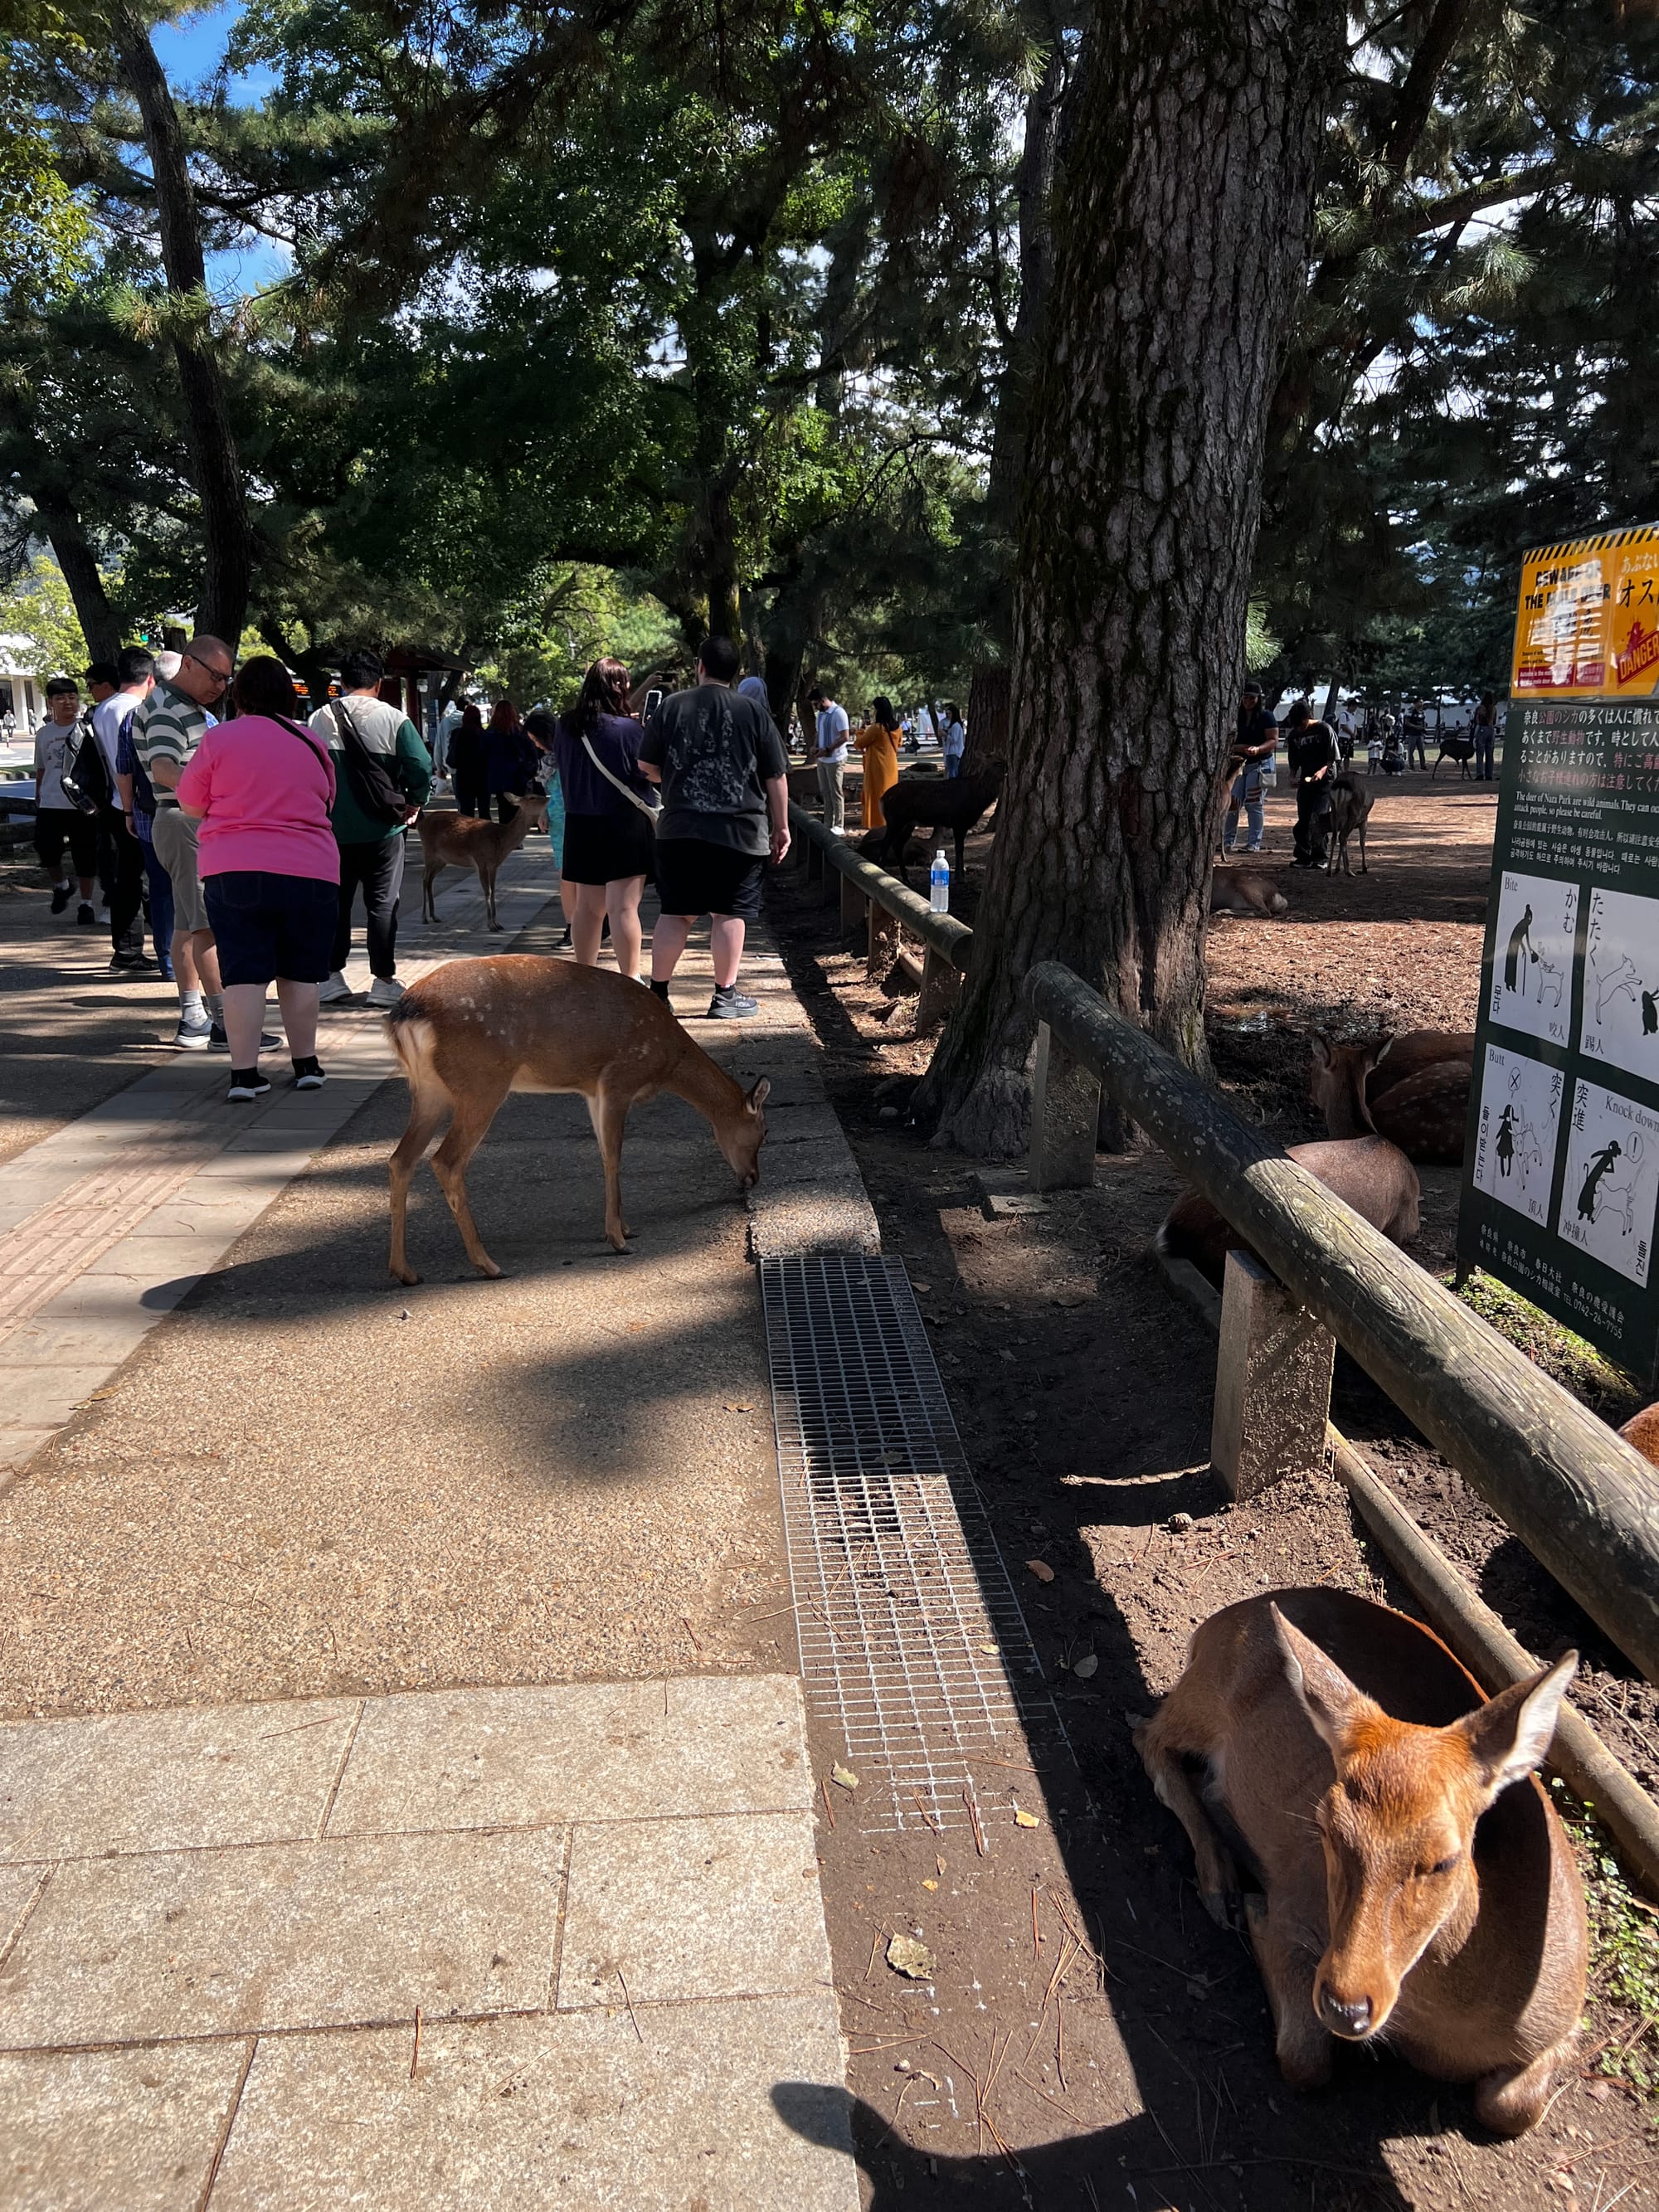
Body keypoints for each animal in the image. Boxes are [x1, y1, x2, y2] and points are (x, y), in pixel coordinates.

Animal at [385, 957, 769, 1281]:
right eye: (764, 1131)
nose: (753, 1177)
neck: (668, 1062)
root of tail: (405, 1014)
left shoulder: (592, 1091)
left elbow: (603, 1153)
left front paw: (623, 1227)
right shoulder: (618, 1079)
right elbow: (614, 1155)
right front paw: (618, 1239)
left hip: (429, 1090)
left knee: (401, 1159)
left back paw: (405, 1271)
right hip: (481, 1083)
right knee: (446, 1161)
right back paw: (488, 1265)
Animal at [419, 792, 549, 931]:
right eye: (532, 797)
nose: (548, 798)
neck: (501, 841)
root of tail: (420, 824)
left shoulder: (494, 865)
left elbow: (494, 890)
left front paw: (497, 923)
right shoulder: (480, 860)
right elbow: (487, 891)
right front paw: (491, 925)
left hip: (442, 859)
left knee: (431, 880)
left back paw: (434, 916)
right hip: (428, 850)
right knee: (425, 879)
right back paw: (424, 918)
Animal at [860, 759, 1007, 884]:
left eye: (1003, 759)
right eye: (997, 763)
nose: (1007, 771)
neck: (979, 799)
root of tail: (882, 800)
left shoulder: (960, 824)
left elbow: (959, 848)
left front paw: (959, 877)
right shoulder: (959, 822)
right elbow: (960, 848)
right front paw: (960, 878)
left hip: (909, 823)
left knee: (897, 844)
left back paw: (906, 878)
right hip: (896, 820)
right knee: (886, 843)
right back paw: (883, 873)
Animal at [1134, 1590, 1585, 2136]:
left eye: (1446, 1859)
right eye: (1326, 1827)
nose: (1345, 2006)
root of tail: (1223, 1619)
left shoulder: (1566, 2023)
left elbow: (1512, 2109)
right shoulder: (1299, 1904)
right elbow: (1304, 2060)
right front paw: (1254, 1913)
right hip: (1204, 1696)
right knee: (1149, 1737)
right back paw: (1222, 1883)